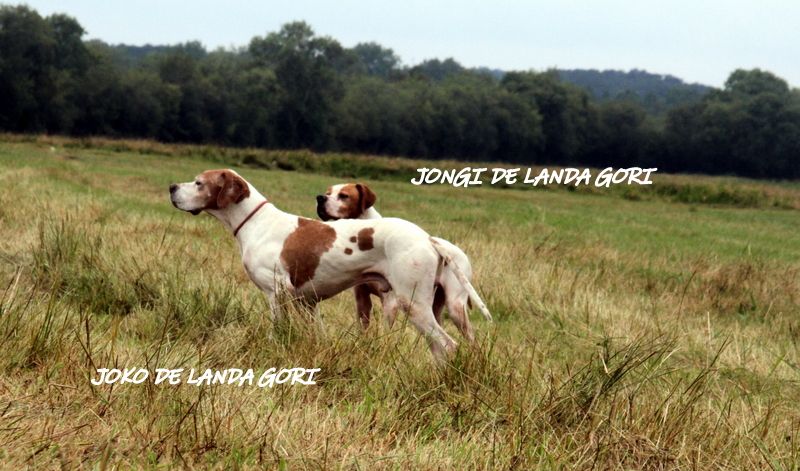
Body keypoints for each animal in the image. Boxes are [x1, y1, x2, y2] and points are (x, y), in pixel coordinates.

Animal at [171, 170, 466, 362]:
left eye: (199, 183)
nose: (172, 187)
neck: (255, 222)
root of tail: (427, 239)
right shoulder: (308, 303)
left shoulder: (276, 293)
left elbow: (277, 330)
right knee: (439, 347)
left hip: (413, 304)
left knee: (448, 345)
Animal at [316, 183, 490, 342]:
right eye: (328, 193)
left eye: (344, 196)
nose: (320, 198)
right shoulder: (362, 298)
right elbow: (363, 328)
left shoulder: (390, 301)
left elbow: (386, 331)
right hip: (435, 306)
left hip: (455, 307)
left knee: (469, 338)